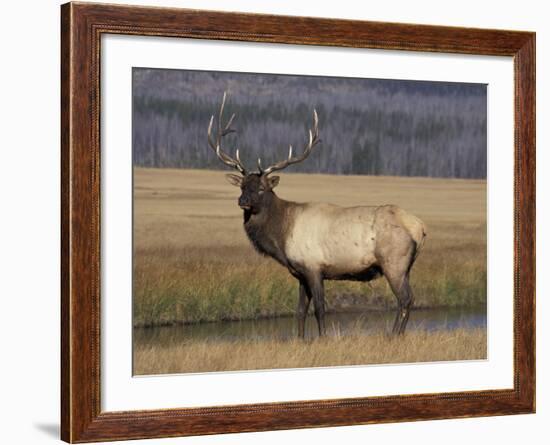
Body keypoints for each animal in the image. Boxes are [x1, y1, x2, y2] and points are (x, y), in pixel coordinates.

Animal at [207, 93, 426, 336]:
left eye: (262, 188)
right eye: (242, 186)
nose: (243, 201)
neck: (281, 237)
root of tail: (419, 227)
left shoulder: (314, 267)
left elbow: (320, 309)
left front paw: (323, 338)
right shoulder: (300, 273)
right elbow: (300, 311)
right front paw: (300, 339)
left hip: (393, 261)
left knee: (405, 299)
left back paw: (394, 335)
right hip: (406, 266)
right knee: (409, 298)